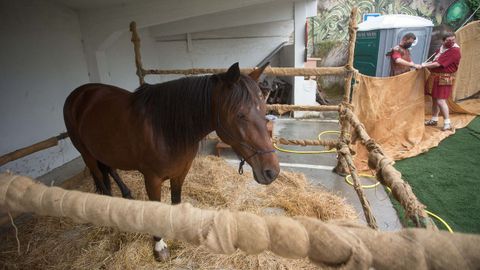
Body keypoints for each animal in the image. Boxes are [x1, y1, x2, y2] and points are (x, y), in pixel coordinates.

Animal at [63, 62, 282, 262]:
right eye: (240, 114)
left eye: (264, 110)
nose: (271, 172)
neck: (163, 129)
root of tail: (79, 94)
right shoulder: (152, 180)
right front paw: (159, 247)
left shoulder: (180, 173)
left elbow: (175, 201)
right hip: (86, 153)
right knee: (100, 178)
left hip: (104, 150)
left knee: (110, 169)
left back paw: (125, 194)